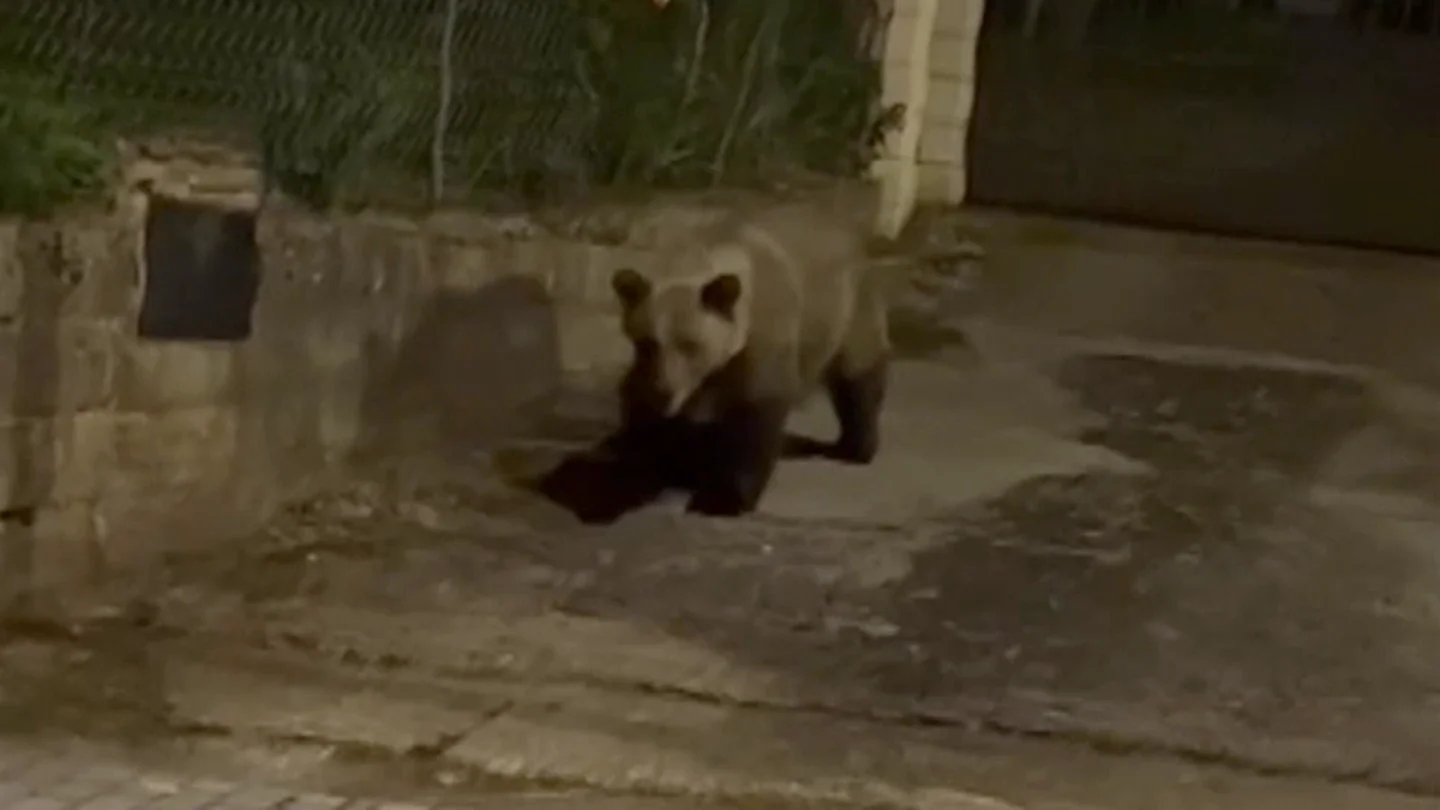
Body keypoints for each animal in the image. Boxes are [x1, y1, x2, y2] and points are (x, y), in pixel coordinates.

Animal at [608, 197, 891, 517]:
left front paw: (724, 498)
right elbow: (644, 412)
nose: (663, 392)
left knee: (858, 378)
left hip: (850, 310)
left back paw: (857, 446)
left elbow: (756, 416)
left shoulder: (762, 340)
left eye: (690, 345)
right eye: (646, 343)